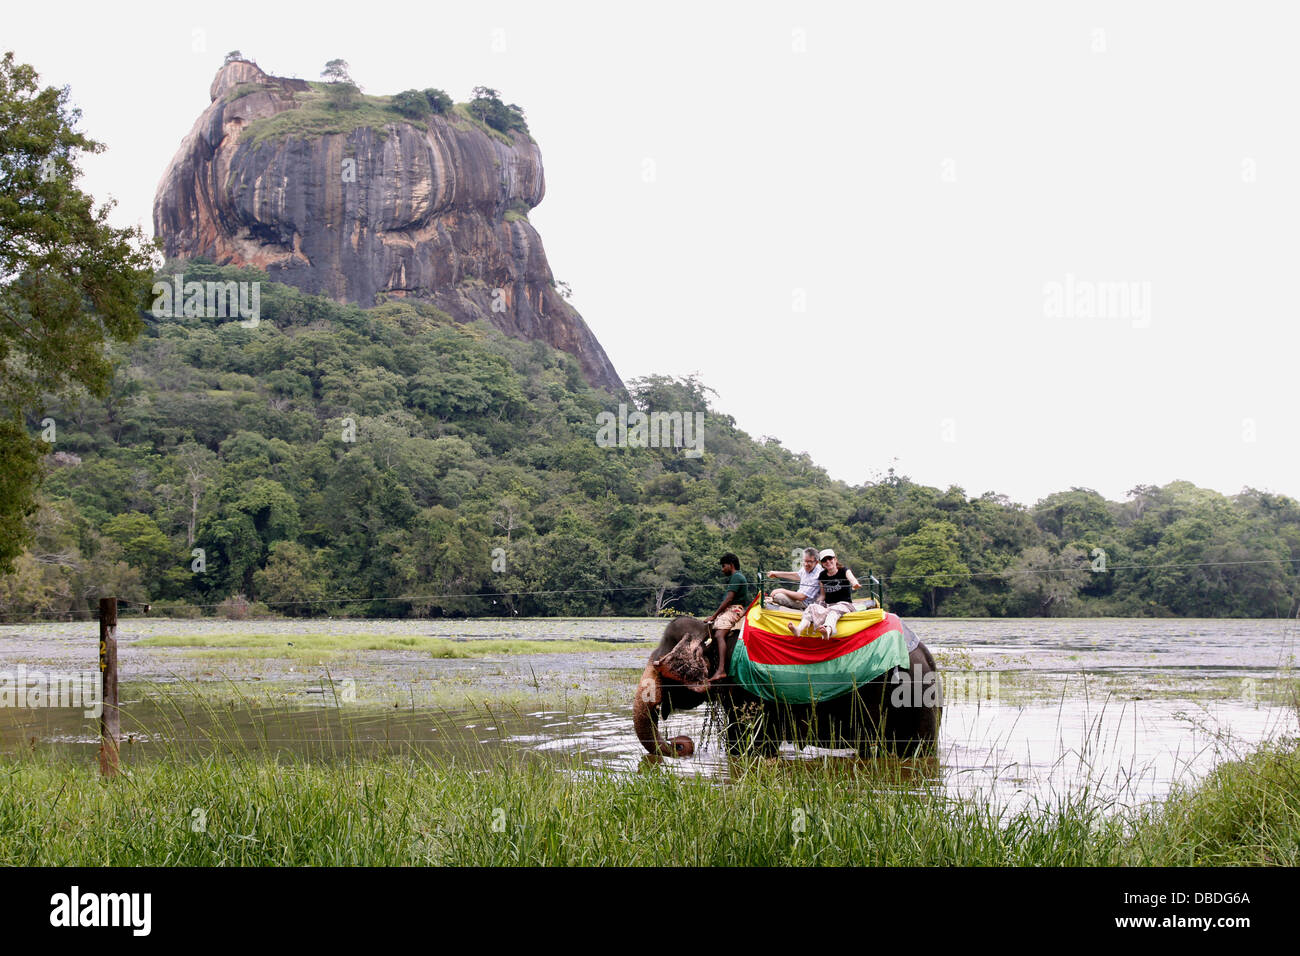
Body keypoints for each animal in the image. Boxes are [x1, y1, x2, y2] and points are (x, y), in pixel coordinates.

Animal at [632, 615, 941, 760]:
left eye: (662, 668)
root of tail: (927, 657)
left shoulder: (747, 689)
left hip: (908, 696)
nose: (681, 743)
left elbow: (746, 741)